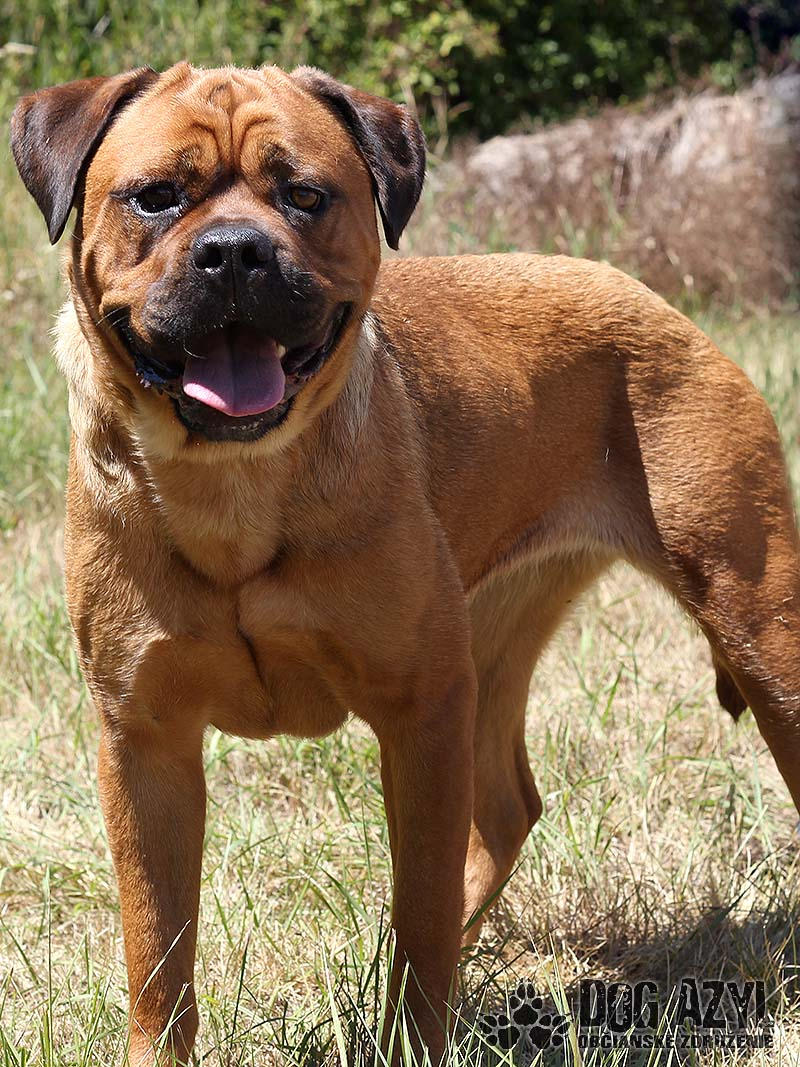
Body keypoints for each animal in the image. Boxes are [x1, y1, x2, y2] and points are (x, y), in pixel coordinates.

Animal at [11, 62, 800, 1065]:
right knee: (506, 807)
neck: (232, 485)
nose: (234, 252)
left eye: (304, 196)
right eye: (156, 196)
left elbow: (418, 905)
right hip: (495, 640)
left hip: (757, 628)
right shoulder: (143, 735)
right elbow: (157, 944)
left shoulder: (420, 708)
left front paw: (413, 1034)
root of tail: (657, 301)